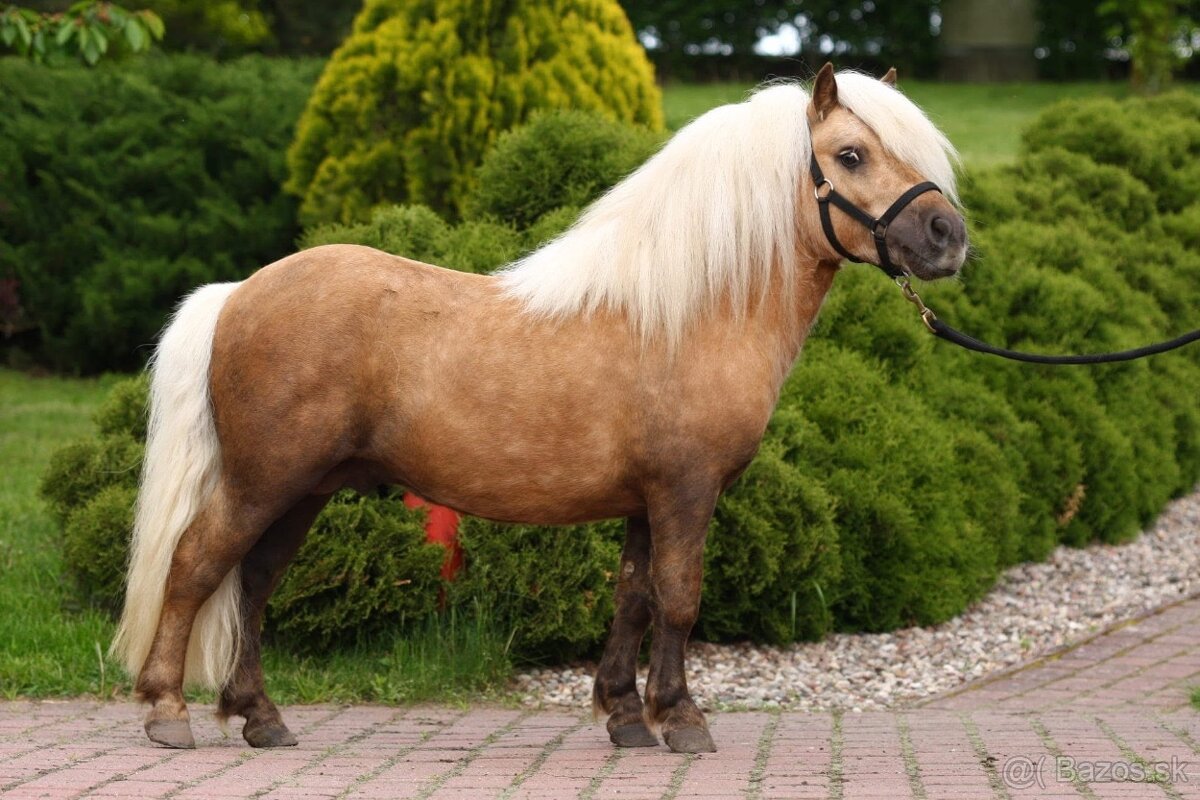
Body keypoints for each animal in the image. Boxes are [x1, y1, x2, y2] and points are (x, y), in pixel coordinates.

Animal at [113, 64, 967, 754]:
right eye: (850, 155)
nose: (947, 235)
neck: (687, 312)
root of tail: (238, 295)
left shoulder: (644, 502)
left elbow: (633, 597)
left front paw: (625, 717)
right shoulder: (686, 492)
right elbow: (680, 599)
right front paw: (682, 720)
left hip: (303, 490)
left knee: (252, 583)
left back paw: (261, 718)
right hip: (263, 482)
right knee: (195, 566)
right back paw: (167, 712)